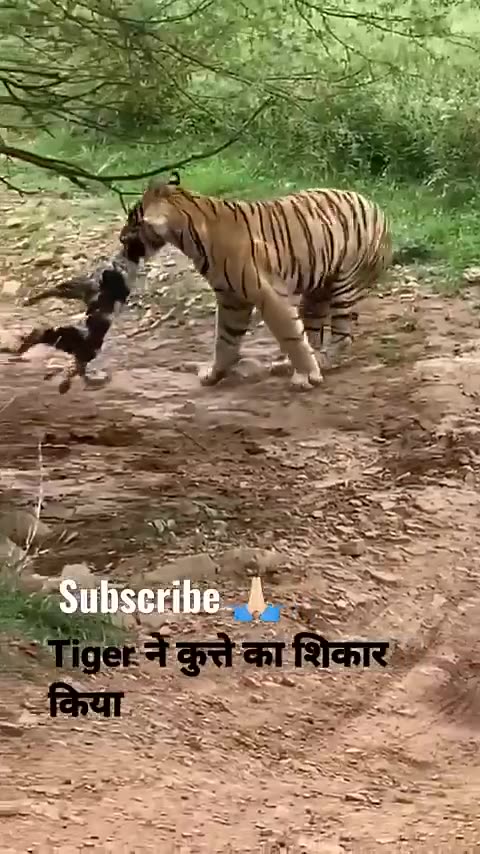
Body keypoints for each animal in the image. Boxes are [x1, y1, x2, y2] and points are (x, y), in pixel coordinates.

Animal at [118, 172, 392, 391]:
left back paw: (319, 363)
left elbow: (290, 335)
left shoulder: (269, 295)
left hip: (344, 283)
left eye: (133, 220)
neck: (188, 234)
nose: (120, 238)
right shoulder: (231, 299)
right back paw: (287, 364)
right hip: (317, 288)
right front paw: (213, 374)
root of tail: (378, 208)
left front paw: (306, 376)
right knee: (313, 333)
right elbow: (225, 341)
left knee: (342, 337)